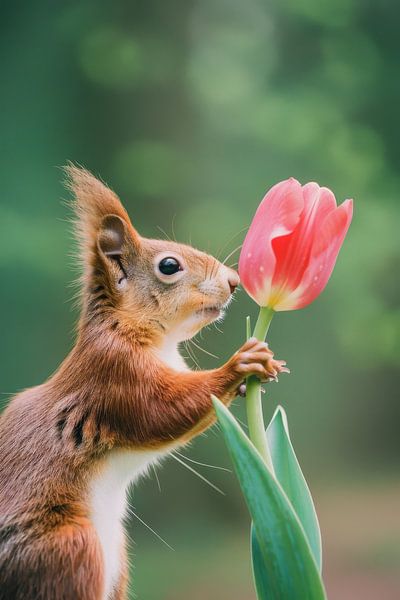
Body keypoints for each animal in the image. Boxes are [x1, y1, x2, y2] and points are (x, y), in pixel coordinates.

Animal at [0, 165, 288, 600]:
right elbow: (160, 411)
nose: (234, 280)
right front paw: (239, 365)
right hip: (67, 547)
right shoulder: (115, 373)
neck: (153, 338)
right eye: (169, 266)